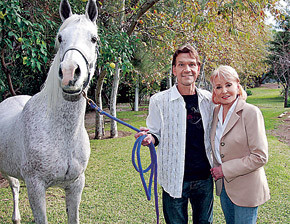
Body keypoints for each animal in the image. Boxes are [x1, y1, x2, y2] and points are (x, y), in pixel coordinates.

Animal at [0, 0, 98, 223]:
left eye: (94, 39)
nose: (70, 73)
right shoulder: (36, 188)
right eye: (60, 37)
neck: (62, 134)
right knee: (14, 186)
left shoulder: (76, 185)